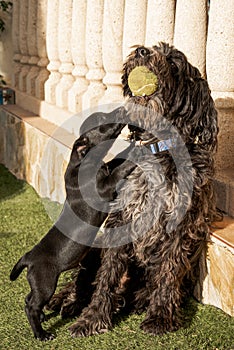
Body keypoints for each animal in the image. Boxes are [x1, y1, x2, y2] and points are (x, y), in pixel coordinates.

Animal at [9, 108, 135, 340]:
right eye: (102, 120)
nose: (122, 109)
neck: (82, 160)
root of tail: (28, 257)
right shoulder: (106, 187)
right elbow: (120, 169)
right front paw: (140, 151)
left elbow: (116, 160)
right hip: (46, 283)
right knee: (31, 306)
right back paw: (41, 334)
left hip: (39, 284)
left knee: (29, 299)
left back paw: (42, 319)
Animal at [48, 43, 218, 336]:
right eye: (154, 48)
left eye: (173, 63)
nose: (141, 51)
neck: (159, 148)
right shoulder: (121, 218)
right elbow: (107, 276)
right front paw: (92, 318)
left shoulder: (181, 226)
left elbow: (169, 272)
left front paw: (160, 316)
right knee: (83, 279)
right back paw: (66, 300)